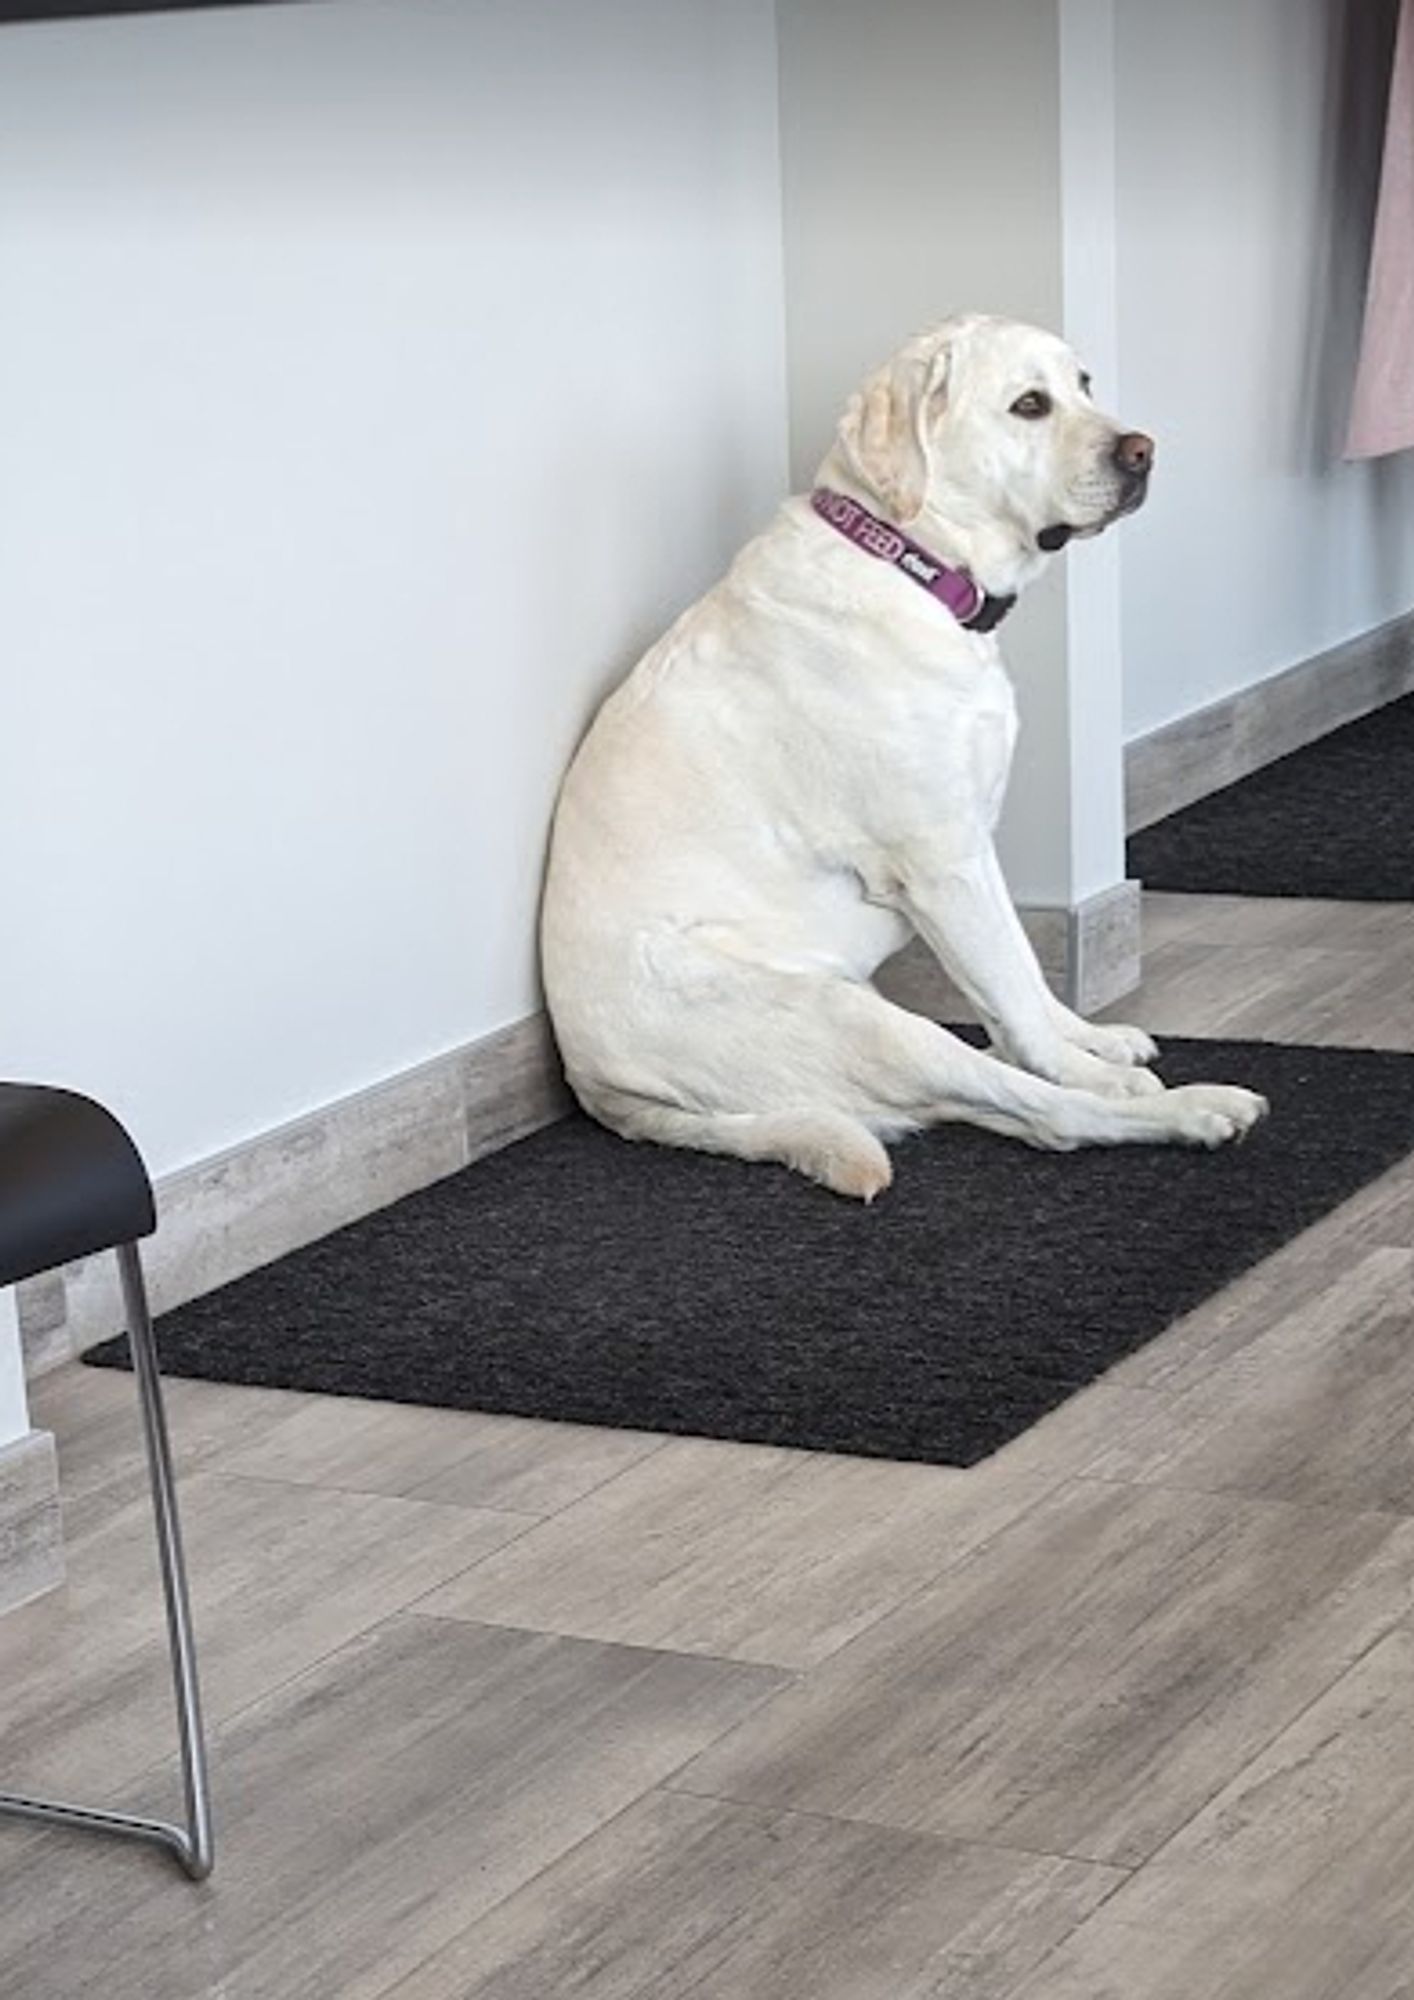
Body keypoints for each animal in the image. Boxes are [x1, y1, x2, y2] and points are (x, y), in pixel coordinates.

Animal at [544, 318, 1272, 1192]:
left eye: (1085, 384)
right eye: (1029, 405)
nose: (1142, 451)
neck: (907, 564)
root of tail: (600, 1087)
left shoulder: (973, 847)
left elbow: (1021, 974)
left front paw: (1089, 1039)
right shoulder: (941, 863)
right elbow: (1017, 996)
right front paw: (1089, 1067)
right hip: (864, 1022)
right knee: (1046, 1117)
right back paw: (1188, 1109)